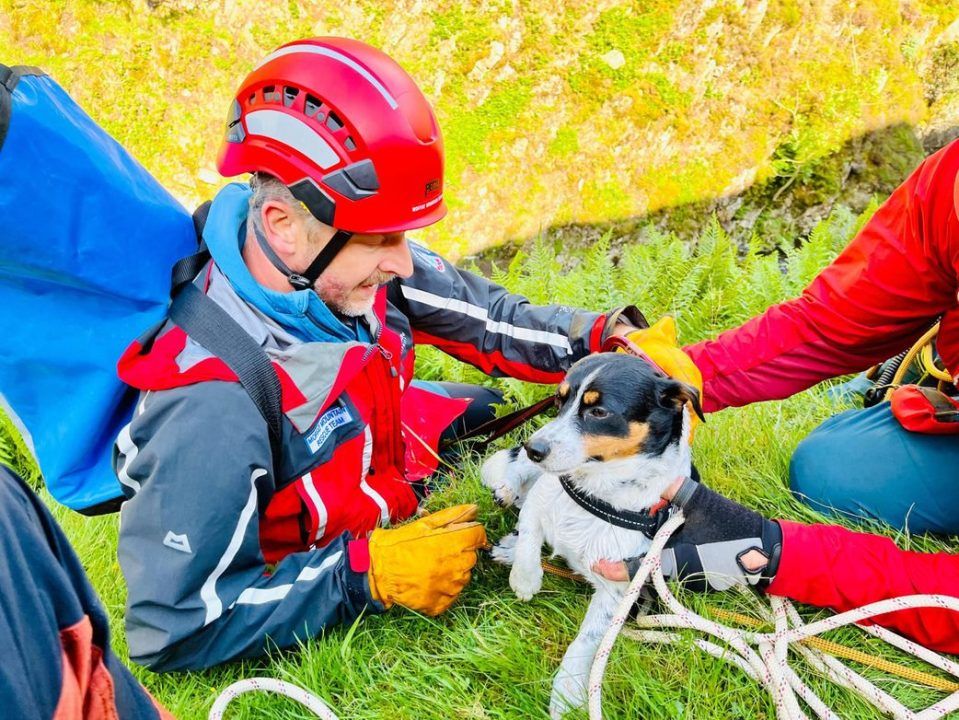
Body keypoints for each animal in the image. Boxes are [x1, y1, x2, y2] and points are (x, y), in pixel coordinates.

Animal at [484, 352, 700, 716]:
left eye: (599, 412)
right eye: (559, 400)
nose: (533, 448)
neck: (596, 491)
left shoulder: (618, 589)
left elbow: (585, 642)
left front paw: (566, 692)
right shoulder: (543, 495)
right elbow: (529, 531)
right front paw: (525, 579)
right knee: (516, 479)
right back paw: (507, 493)